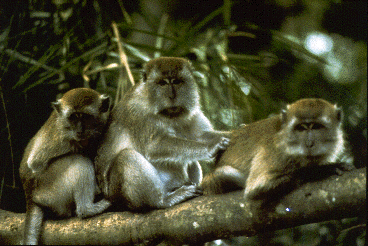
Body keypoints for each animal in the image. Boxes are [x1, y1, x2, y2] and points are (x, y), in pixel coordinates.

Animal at [19, 88, 111, 244]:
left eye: (85, 117)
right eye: (73, 117)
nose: (79, 131)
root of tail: (30, 195)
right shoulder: (62, 135)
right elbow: (34, 163)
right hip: (48, 191)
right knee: (79, 160)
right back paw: (87, 210)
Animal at [94, 56, 230, 210]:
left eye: (177, 81)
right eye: (162, 83)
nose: (172, 96)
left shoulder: (191, 113)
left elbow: (199, 135)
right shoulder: (138, 113)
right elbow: (155, 146)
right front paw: (211, 146)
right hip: (119, 193)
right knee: (126, 157)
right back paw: (162, 200)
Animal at [201, 98, 354, 200]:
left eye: (316, 127)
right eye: (301, 128)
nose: (309, 143)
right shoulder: (276, 151)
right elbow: (256, 188)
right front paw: (325, 170)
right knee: (222, 173)